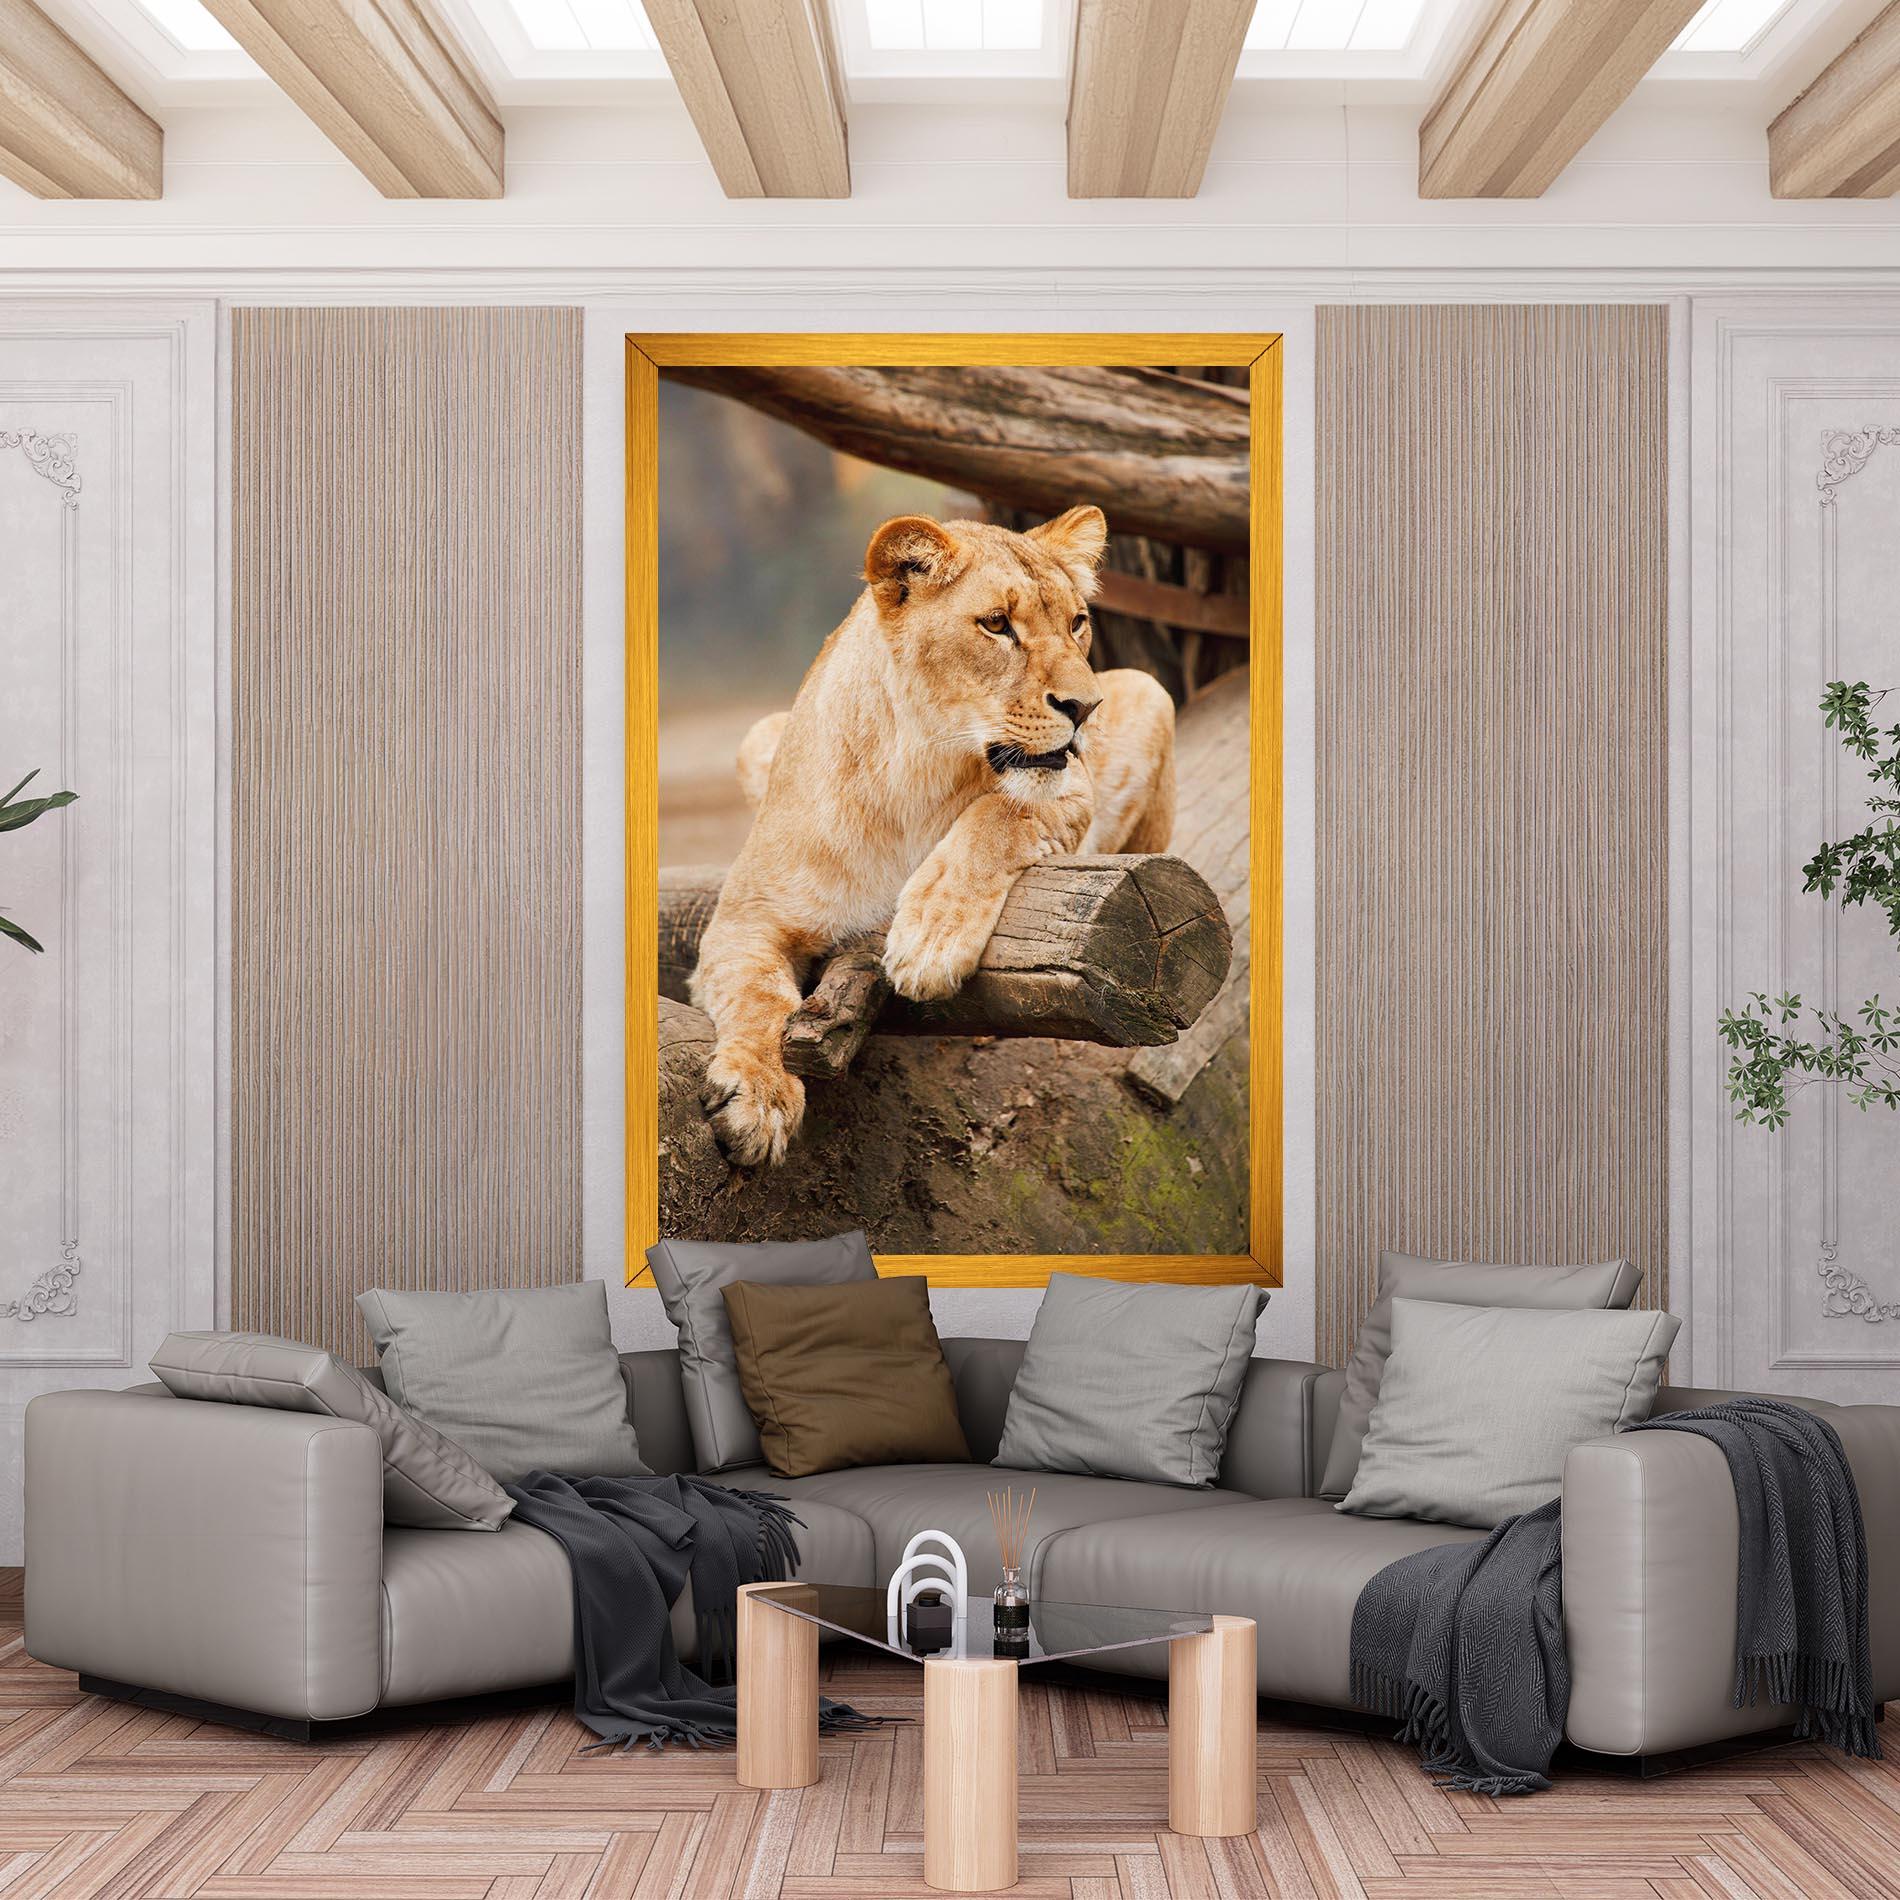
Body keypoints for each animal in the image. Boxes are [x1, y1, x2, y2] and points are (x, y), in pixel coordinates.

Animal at [688, 505, 1176, 1167]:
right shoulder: (744, 919)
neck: (916, 772)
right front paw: (759, 1097)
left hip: (1151, 691)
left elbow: (999, 814)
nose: (1086, 708)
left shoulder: (1072, 789)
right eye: (996, 624)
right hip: (758, 734)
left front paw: (929, 940)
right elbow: (756, 995)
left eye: (1077, 623)